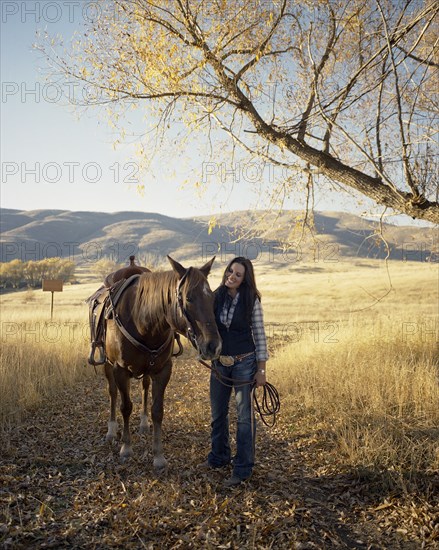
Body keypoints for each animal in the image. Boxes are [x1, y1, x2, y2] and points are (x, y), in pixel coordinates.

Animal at [101, 256, 222, 472]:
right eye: (188, 298)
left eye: (213, 298)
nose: (213, 346)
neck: (143, 321)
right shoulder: (120, 370)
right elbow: (126, 407)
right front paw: (126, 448)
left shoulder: (162, 370)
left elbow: (158, 410)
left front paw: (158, 456)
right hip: (108, 365)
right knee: (113, 393)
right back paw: (111, 430)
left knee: (144, 387)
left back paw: (143, 423)